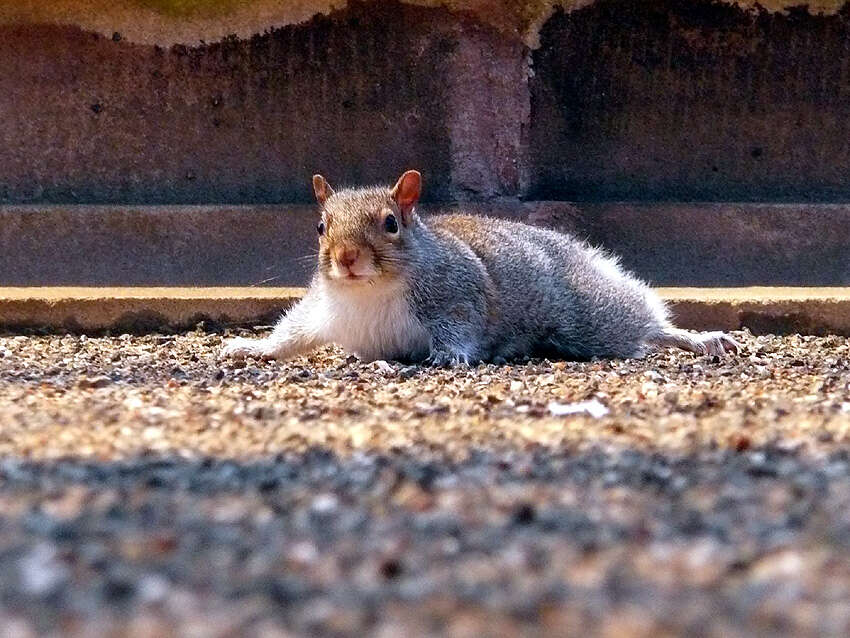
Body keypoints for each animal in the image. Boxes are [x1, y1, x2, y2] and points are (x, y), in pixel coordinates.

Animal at [224, 172, 736, 368]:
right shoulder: (323, 309)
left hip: (588, 319)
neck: (369, 291)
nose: (347, 257)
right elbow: (291, 334)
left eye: (391, 224)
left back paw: (696, 339)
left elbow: (462, 328)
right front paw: (252, 346)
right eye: (320, 226)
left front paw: (447, 357)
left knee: (643, 323)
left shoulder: (456, 296)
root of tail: (576, 253)